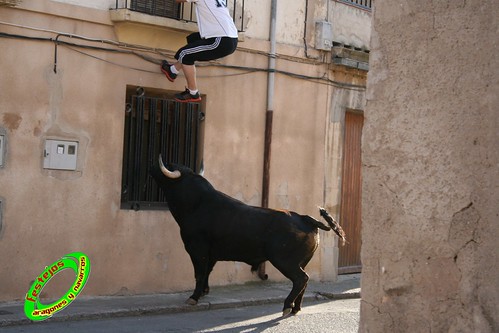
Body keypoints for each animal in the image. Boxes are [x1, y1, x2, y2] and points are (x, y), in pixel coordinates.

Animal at [150, 154, 346, 316]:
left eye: (169, 165)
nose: (152, 166)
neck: (198, 203)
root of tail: (305, 218)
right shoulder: (211, 254)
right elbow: (206, 273)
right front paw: (204, 292)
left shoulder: (198, 250)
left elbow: (199, 273)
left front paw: (194, 297)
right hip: (301, 262)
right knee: (304, 282)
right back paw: (296, 308)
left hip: (284, 261)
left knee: (301, 279)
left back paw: (287, 306)